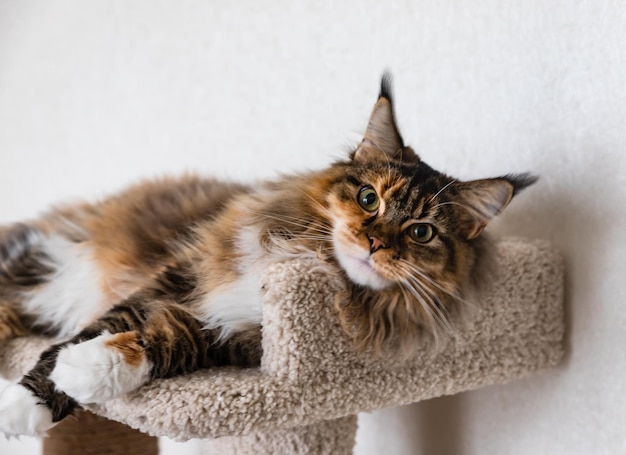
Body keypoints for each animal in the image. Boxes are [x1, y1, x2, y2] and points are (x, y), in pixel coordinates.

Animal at [0, 75, 532, 438]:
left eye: (421, 232)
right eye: (368, 199)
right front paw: (27, 400)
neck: (307, 256)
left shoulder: (239, 339)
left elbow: (167, 342)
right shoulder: (179, 274)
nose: (374, 243)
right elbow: (102, 324)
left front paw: (85, 371)